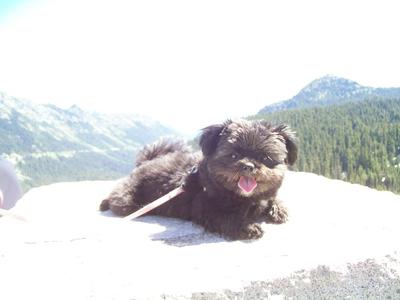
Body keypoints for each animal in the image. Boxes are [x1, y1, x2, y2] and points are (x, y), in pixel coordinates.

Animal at [99, 118, 296, 240]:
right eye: (233, 155)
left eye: (265, 158)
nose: (248, 166)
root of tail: (145, 162)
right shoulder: (206, 208)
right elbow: (228, 218)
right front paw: (247, 227)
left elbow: (271, 199)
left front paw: (277, 207)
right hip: (127, 200)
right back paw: (105, 202)